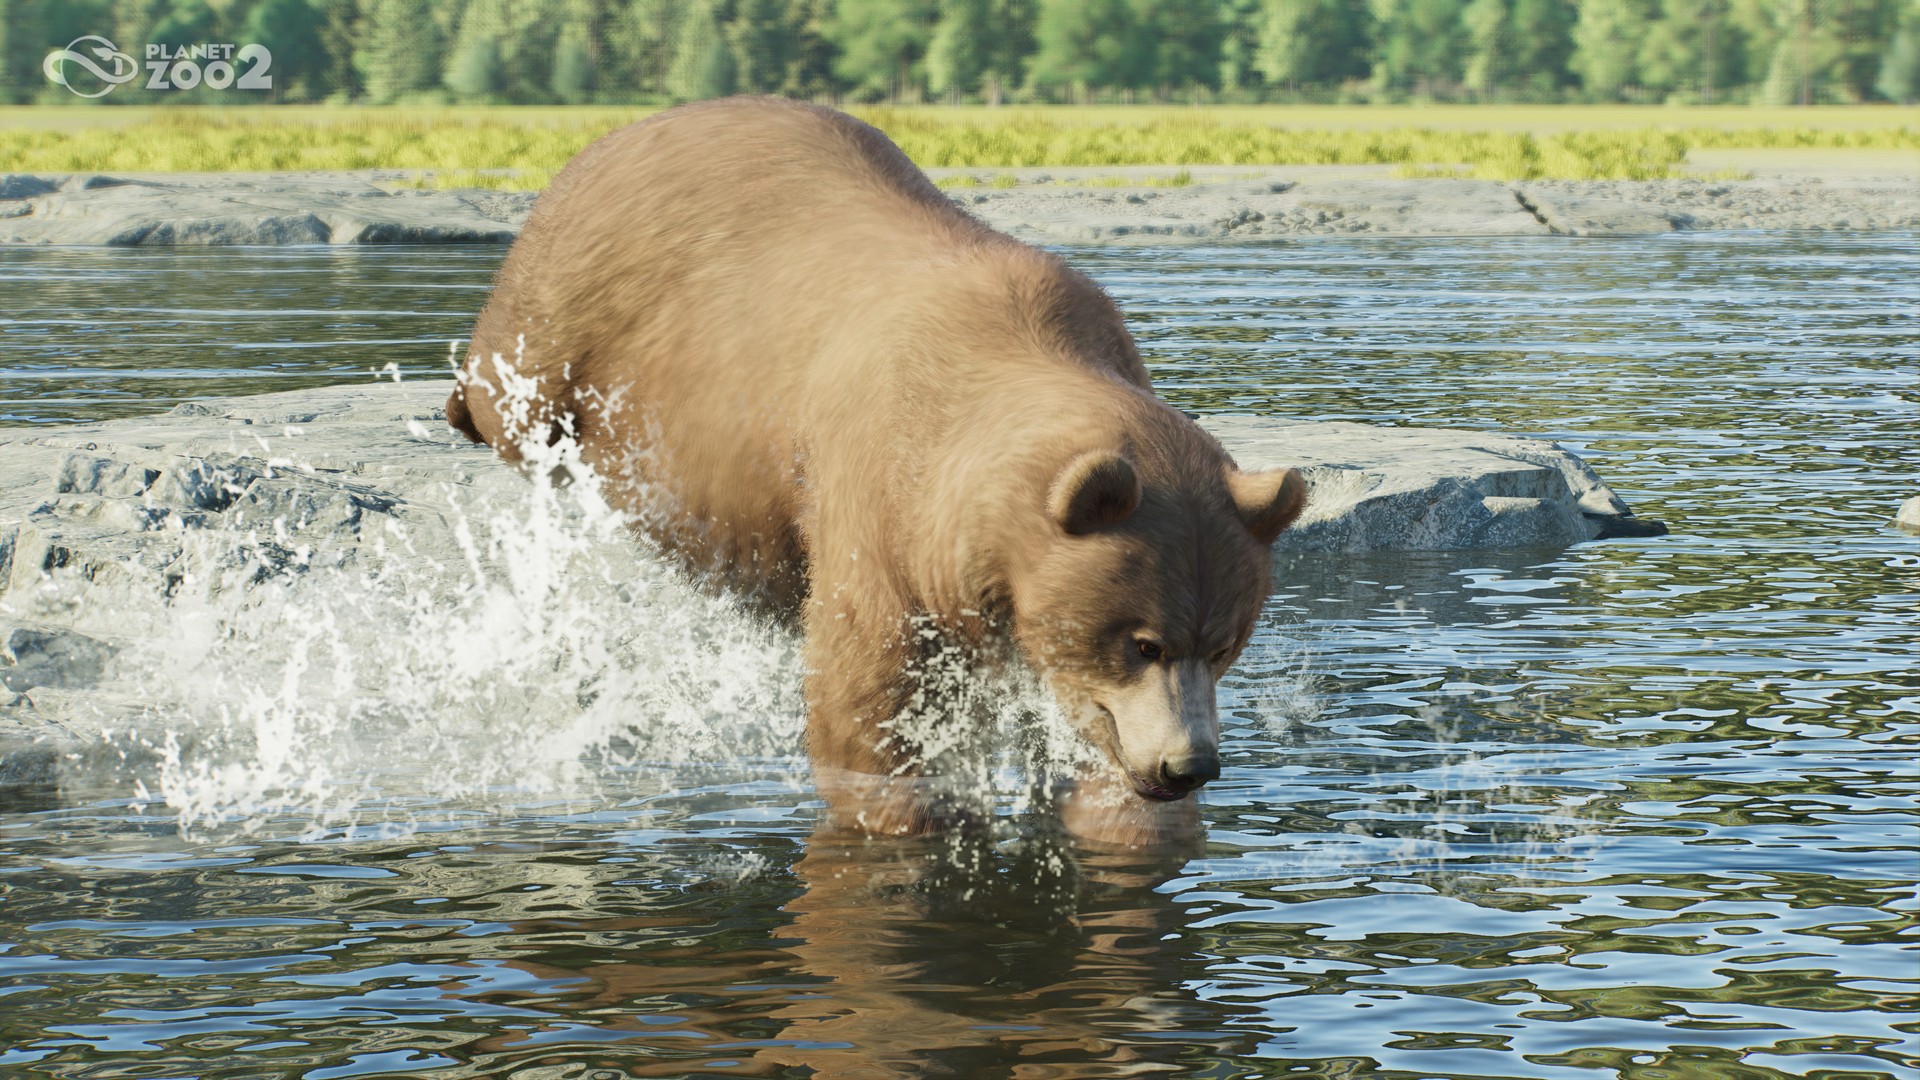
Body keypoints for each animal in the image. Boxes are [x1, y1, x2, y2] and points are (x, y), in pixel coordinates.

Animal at [447, 97, 1306, 842]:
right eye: (1143, 643)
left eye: (1225, 643)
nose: (1189, 765)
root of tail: (630, 128)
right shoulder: (886, 494)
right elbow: (870, 696)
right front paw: (910, 809)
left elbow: (1090, 740)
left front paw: (1126, 816)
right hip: (575, 296)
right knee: (512, 388)